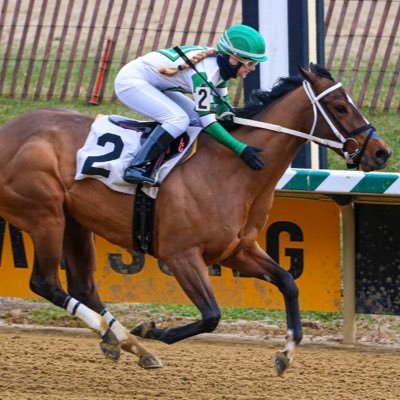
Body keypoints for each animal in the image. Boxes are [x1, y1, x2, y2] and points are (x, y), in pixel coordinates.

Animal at [0, 63, 390, 376]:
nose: (381, 151)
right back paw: (123, 336)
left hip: (75, 222)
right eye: (340, 107)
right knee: (46, 283)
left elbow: (287, 283)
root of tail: (10, 131)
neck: (231, 169)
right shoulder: (182, 255)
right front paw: (152, 330)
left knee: (83, 287)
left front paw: (287, 352)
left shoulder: (237, 250)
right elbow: (212, 315)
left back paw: (128, 344)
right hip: (45, 214)